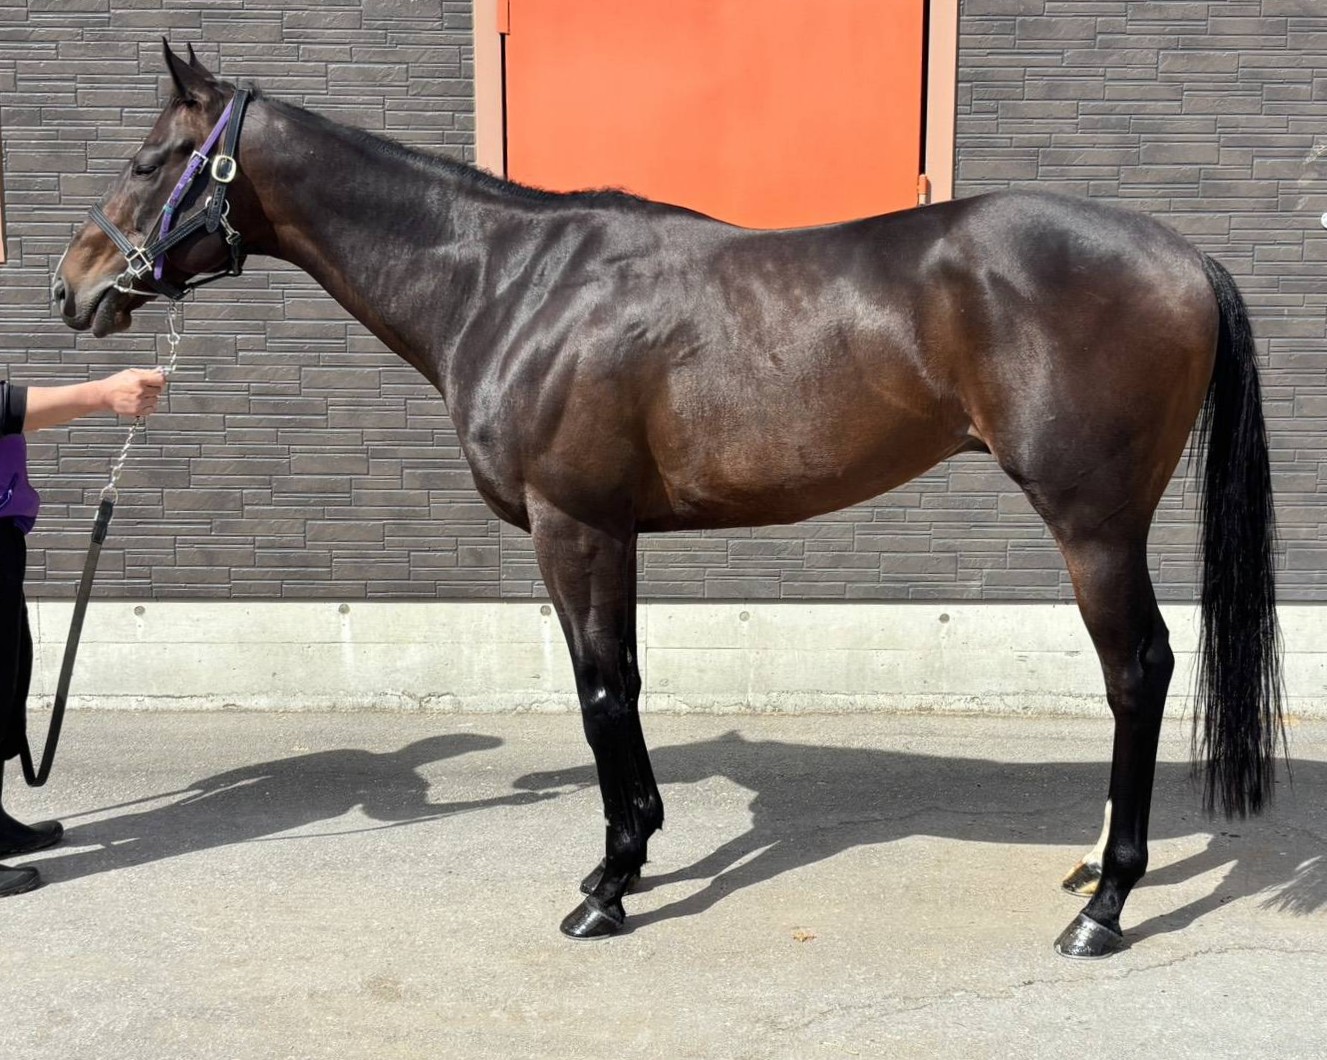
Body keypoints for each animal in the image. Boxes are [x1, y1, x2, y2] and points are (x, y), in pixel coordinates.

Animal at [51, 43, 1283, 960]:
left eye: (152, 158)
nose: (72, 288)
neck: (508, 285)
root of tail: (1181, 255)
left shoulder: (572, 525)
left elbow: (599, 693)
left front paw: (604, 888)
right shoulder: (616, 531)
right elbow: (628, 683)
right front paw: (634, 849)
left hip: (1092, 524)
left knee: (1137, 672)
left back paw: (1104, 906)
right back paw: (1087, 868)